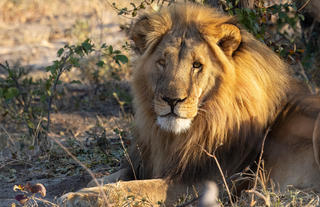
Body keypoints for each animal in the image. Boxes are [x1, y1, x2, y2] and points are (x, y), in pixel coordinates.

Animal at [58, 2, 320, 206]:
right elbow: (103, 178)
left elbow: (135, 188)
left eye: (197, 65)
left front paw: (78, 198)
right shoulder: (148, 162)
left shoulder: (203, 181)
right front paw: (75, 192)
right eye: (162, 62)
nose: (172, 100)